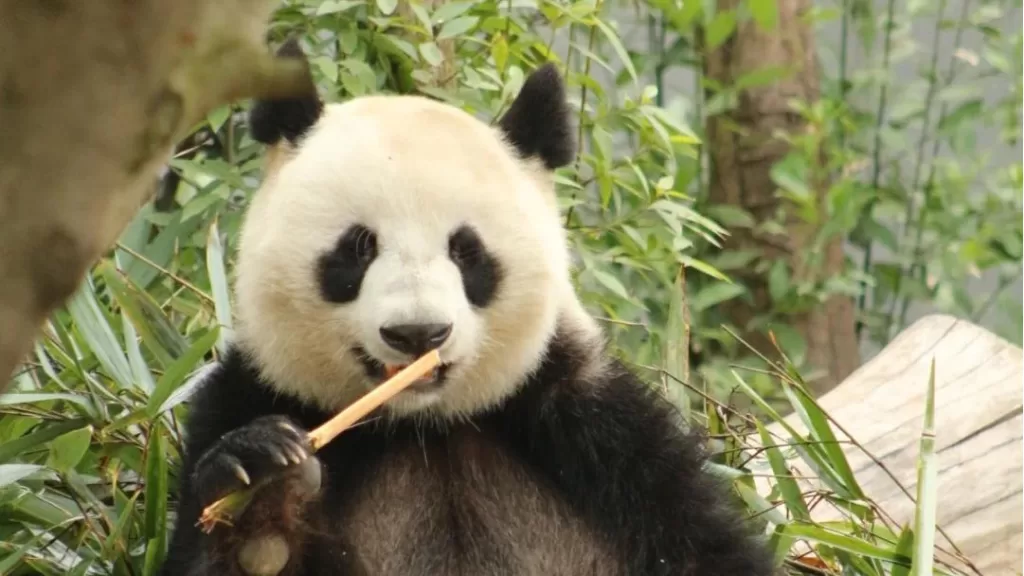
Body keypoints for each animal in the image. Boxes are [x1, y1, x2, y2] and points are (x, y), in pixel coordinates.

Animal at [160, 38, 775, 576]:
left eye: (466, 251)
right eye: (357, 249)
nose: (418, 334)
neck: (426, 426)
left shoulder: (598, 436)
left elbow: (702, 547)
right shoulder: (249, 394)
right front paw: (260, 494)